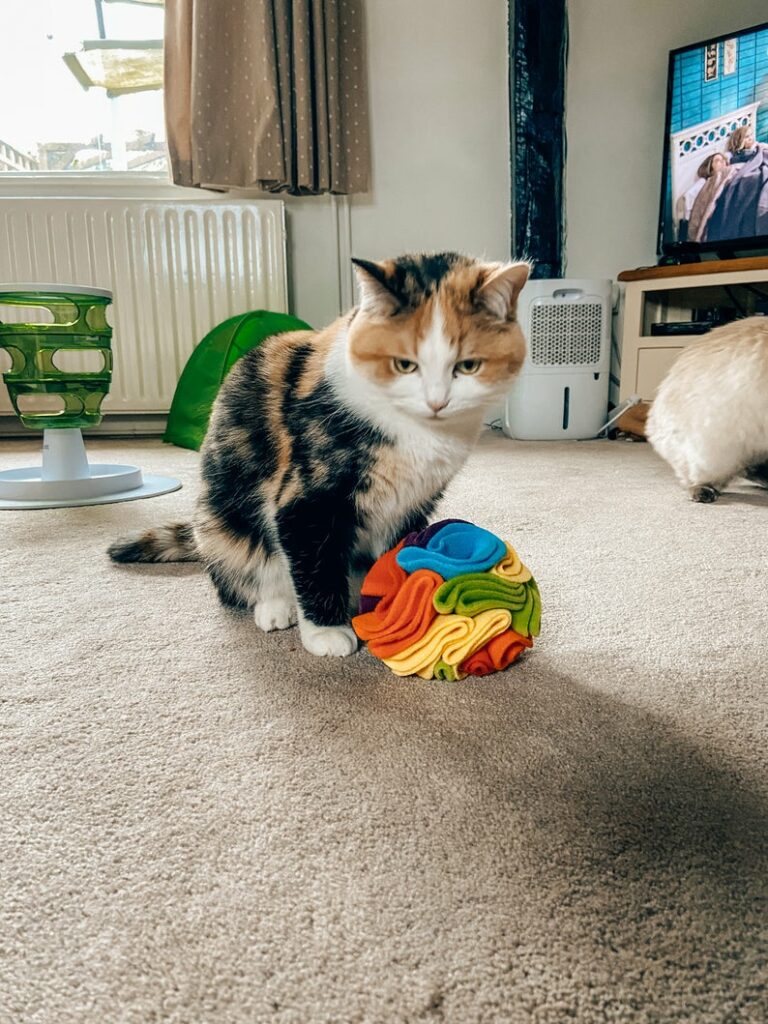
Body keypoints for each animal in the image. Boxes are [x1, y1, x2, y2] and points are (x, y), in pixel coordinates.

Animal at [108, 251, 528, 659]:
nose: (437, 402)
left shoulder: (412, 503)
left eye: (468, 365)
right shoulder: (307, 498)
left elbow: (392, 558)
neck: (420, 435)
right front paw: (327, 632)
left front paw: (390, 606)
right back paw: (276, 607)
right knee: (245, 578)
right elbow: (314, 562)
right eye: (404, 364)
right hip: (220, 523)